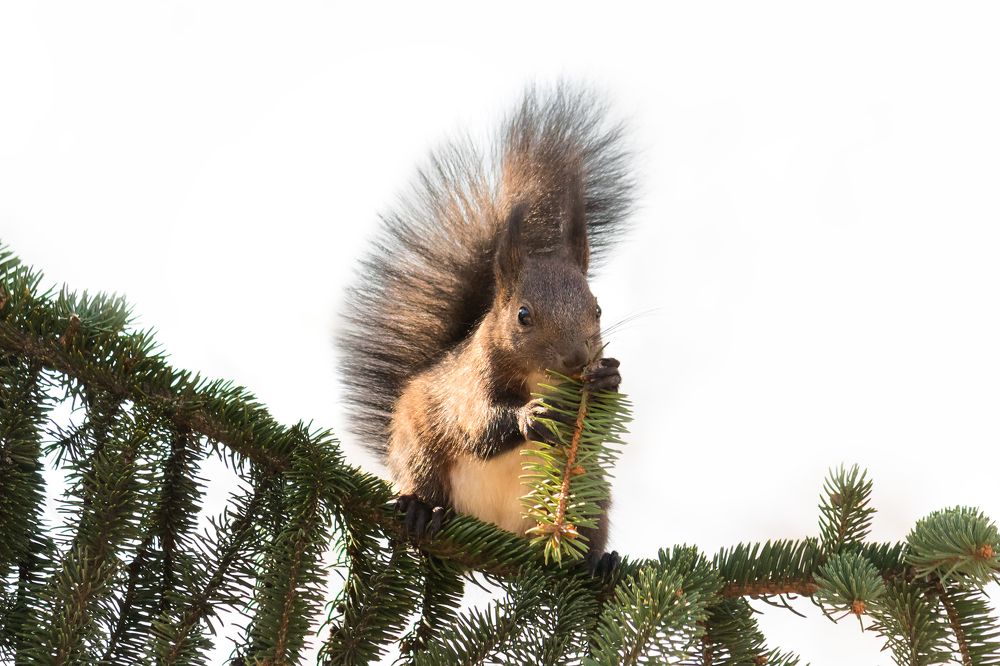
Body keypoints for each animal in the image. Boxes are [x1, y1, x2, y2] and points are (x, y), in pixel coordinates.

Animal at [338, 84, 635, 574]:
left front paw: (608, 377)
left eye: (597, 308)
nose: (577, 359)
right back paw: (420, 509)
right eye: (523, 315)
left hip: (593, 499)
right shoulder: (470, 385)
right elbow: (477, 426)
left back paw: (596, 563)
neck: (541, 378)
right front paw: (531, 416)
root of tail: (498, 528)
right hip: (420, 449)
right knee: (425, 477)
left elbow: (595, 431)